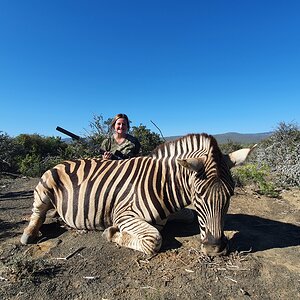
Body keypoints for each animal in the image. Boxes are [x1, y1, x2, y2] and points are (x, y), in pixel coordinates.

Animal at [20, 134, 255, 255]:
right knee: (37, 212)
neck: (163, 184)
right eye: (198, 195)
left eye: (230, 195)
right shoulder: (124, 214)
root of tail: (63, 161)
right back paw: (29, 234)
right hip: (44, 188)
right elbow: (154, 240)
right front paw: (111, 233)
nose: (215, 249)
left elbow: (188, 216)